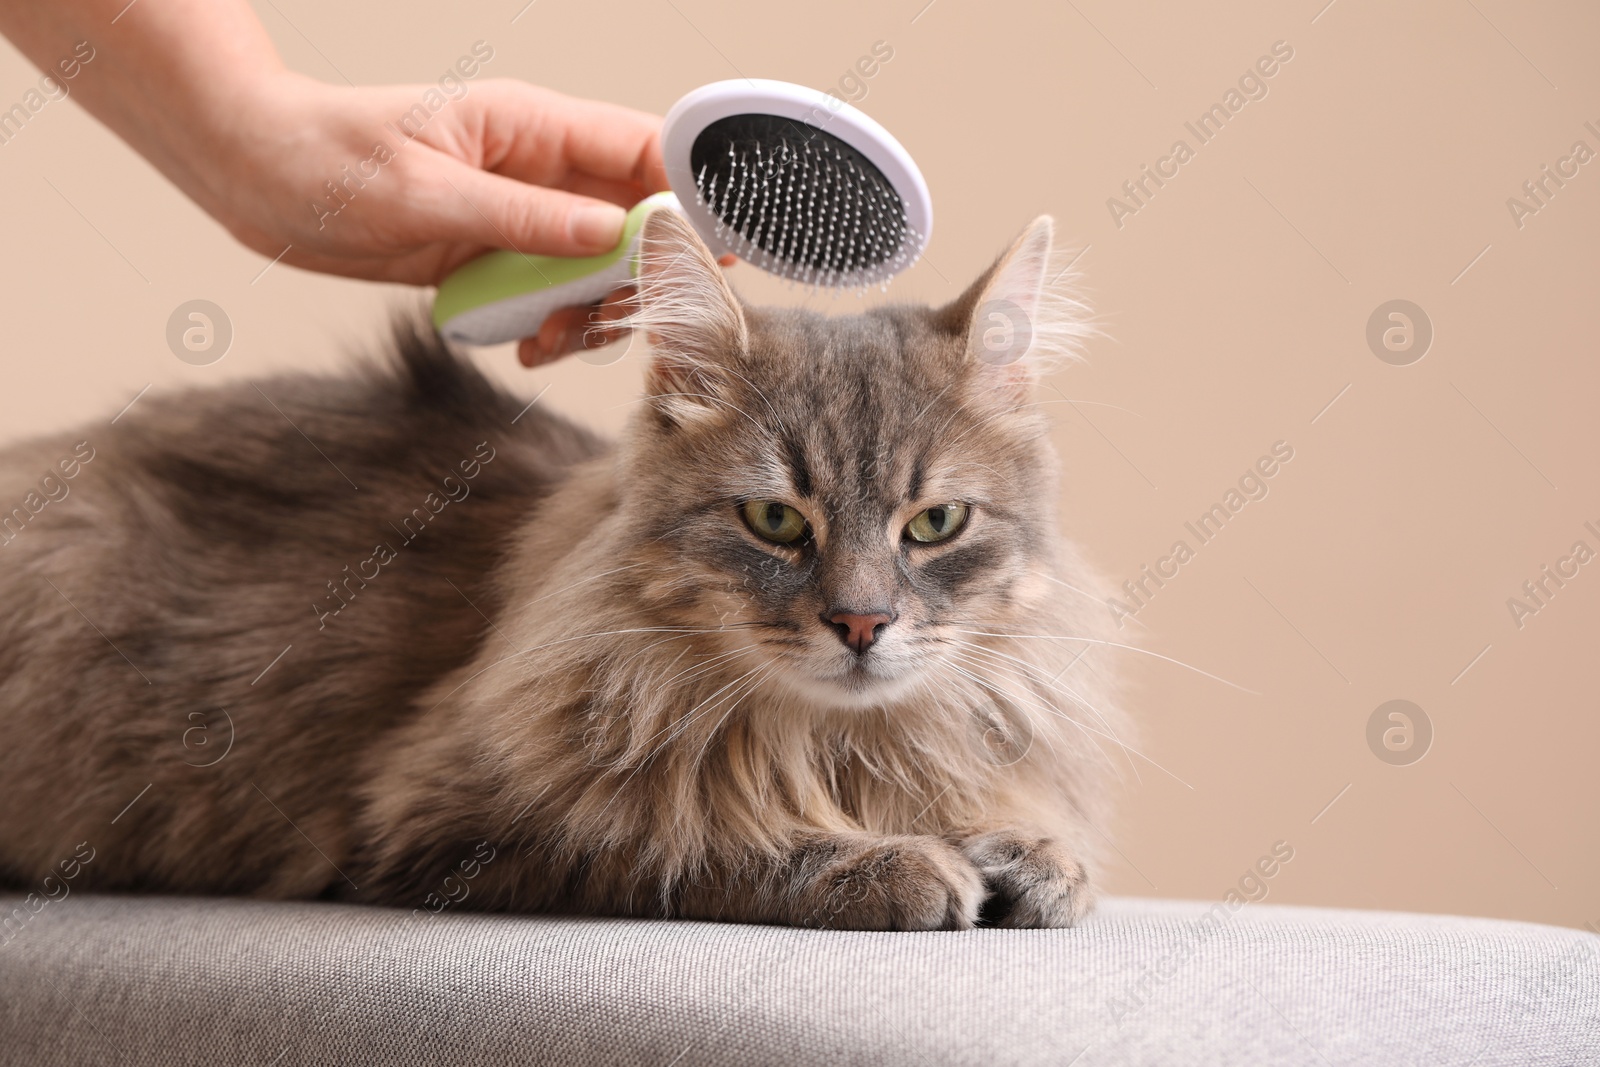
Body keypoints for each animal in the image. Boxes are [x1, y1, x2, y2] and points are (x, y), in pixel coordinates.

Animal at [0, 207, 1126, 927]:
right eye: (773, 519)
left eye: (934, 523)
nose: (860, 623)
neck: (829, 742)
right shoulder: (442, 824)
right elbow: (699, 836)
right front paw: (901, 864)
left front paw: (1028, 856)